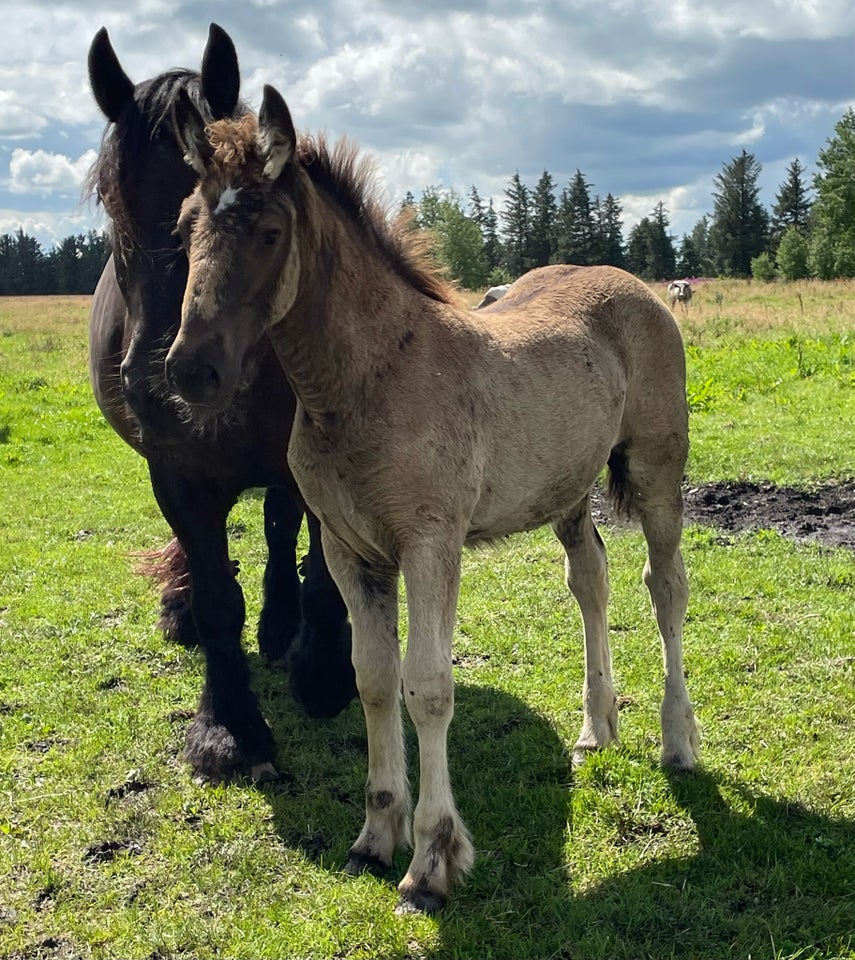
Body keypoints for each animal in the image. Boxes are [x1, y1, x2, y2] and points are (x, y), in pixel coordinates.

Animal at [87, 24, 354, 780]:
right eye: (113, 207)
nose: (158, 386)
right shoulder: (177, 473)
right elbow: (214, 598)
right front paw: (227, 725)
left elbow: (321, 568)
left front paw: (324, 672)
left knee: (280, 531)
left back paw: (285, 628)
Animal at [169, 86, 704, 912]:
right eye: (185, 228)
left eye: (268, 232)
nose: (191, 370)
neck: (366, 382)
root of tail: (635, 287)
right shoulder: (348, 550)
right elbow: (372, 680)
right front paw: (373, 836)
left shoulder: (429, 544)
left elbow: (426, 686)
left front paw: (431, 861)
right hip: (567, 488)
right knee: (589, 581)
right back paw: (595, 728)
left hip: (653, 469)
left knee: (664, 585)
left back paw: (676, 741)